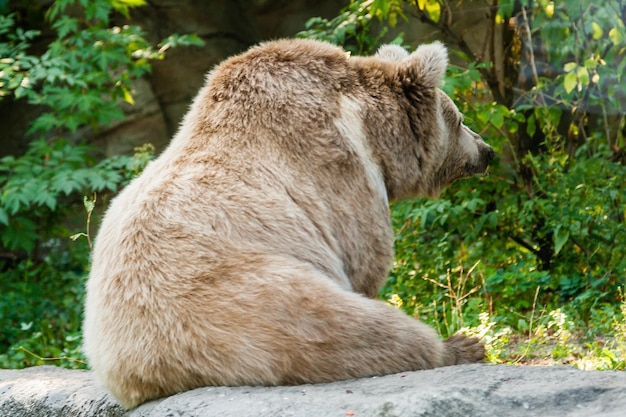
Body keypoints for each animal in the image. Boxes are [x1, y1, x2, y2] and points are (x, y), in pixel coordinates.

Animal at [81, 37, 492, 408]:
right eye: (460, 119)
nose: (487, 150)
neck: (370, 132)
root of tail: (139, 370)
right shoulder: (337, 174)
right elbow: (364, 258)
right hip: (252, 309)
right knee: (361, 330)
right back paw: (460, 346)